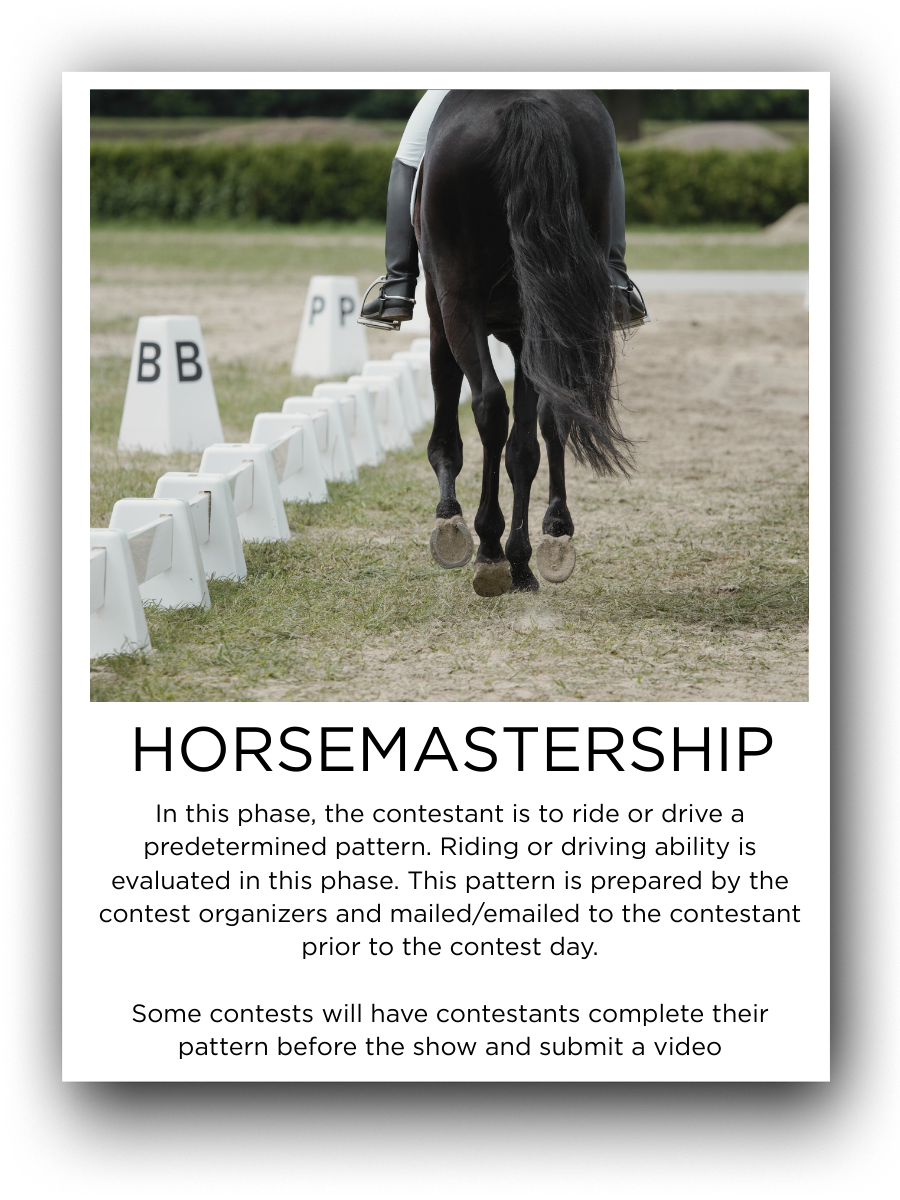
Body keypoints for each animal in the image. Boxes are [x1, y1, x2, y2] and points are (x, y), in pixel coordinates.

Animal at [414, 90, 632, 597]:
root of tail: (523, 100)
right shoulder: (522, 336)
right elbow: (525, 447)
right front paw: (523, 559)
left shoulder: (440, 315)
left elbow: (449, 429)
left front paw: (452, 524)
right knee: (551, 414)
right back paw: (550, 537)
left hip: (457, 302)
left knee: (489, 406)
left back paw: (489, 549)